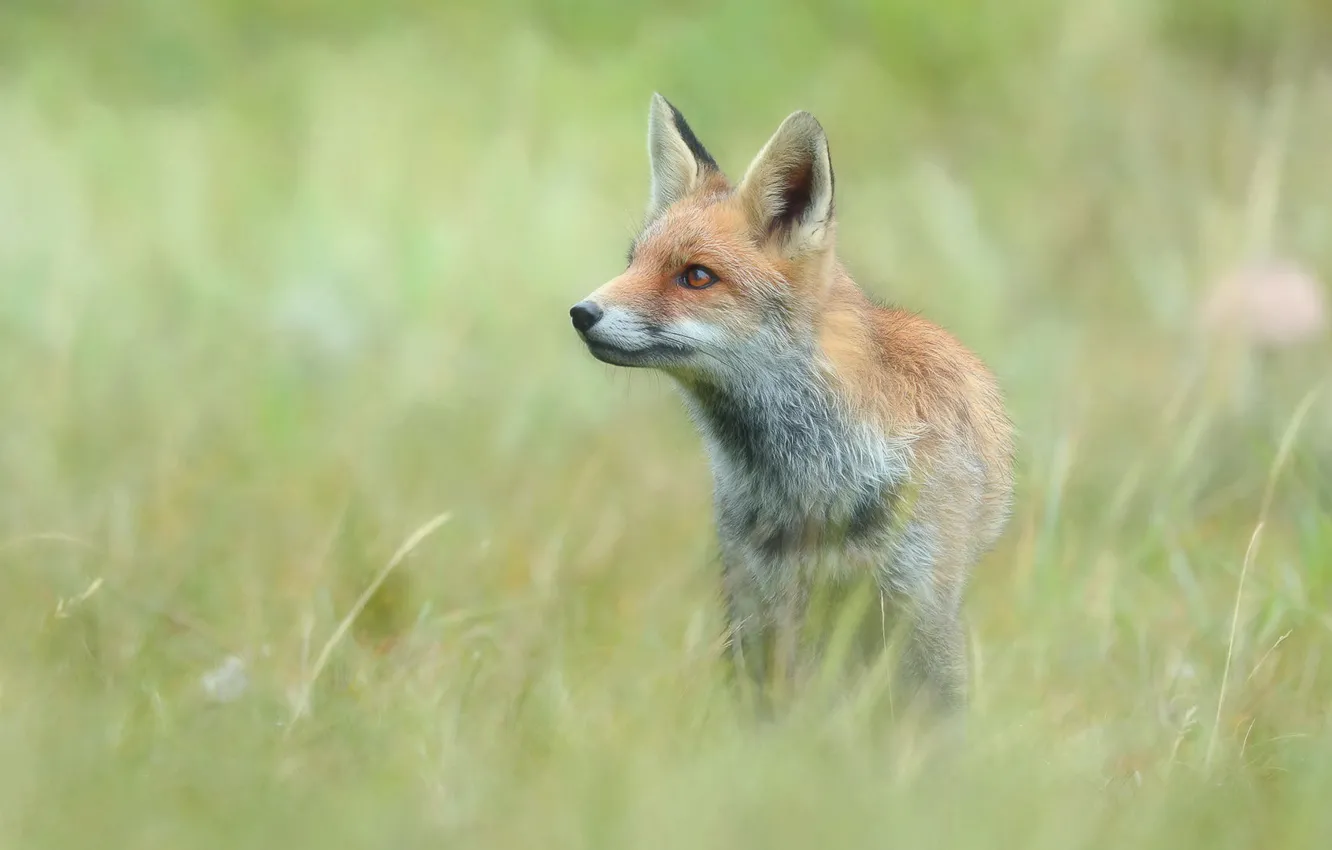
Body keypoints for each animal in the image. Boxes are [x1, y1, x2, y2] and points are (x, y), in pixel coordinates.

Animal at [569, 94, 1015, 715]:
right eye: (632, 261)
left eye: (696, 276)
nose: (581, 313)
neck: (817, 480)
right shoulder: (761, 600)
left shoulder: (919, 604)